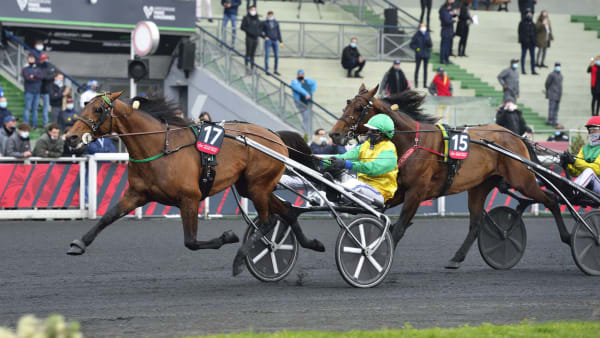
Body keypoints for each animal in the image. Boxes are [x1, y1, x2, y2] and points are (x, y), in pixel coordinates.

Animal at [64, 92, 324, 274]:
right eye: (84, 105)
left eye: (98, 109)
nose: (71, 137)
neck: (160, 147)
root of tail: (275, 135)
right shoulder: (136, 194)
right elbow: (108, 217)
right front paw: (79, 243)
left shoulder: (190, 198)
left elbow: (191, 241)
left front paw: (227, 236)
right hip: (251, 186)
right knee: (286, 211)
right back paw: (311, 243)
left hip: (258, 185)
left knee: (268, 221)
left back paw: (240, 259)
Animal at [326, 85, 568, 270]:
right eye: (346, 104)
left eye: (358, 108)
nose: (334, 134)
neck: (413, 142)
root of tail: (515, 136)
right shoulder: (401, 191)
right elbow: (387, 219)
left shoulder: (416, 193)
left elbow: (400, 227)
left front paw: (375, 258)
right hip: (479, 187)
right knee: (476, 223)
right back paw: (457, 257)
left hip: (522, 180)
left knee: (552, 199)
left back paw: (567, 237)